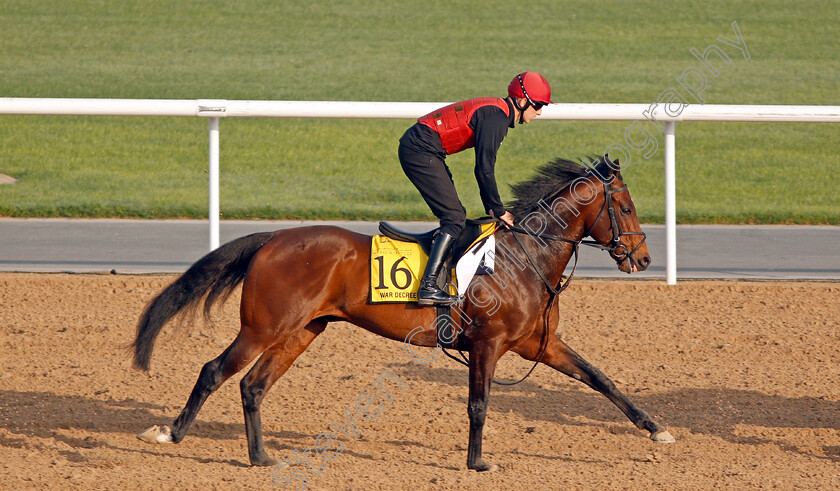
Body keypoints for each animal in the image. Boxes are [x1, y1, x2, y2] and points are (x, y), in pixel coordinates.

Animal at [133, 156, 676, 470]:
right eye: (626, 208)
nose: (644, 259)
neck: (525, 257)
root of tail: (274, 238)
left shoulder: (536, 344)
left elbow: (600, 379)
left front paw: (657, 428)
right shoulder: (488, 343)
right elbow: (479, 404)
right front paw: (477, 463)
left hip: (303, 330)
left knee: (252, 384)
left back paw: (261, 456)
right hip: (263, 326)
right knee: (214, 370)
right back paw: (170, 432)